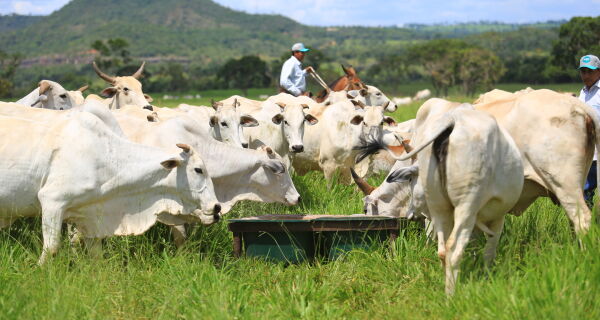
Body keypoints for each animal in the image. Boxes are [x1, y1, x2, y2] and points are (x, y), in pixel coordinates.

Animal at [0, 111, 220, 264]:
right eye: (198, 170)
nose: (217, 208)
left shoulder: (89, 217)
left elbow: (96, 255)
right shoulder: (52, 201)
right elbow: (52, 247)